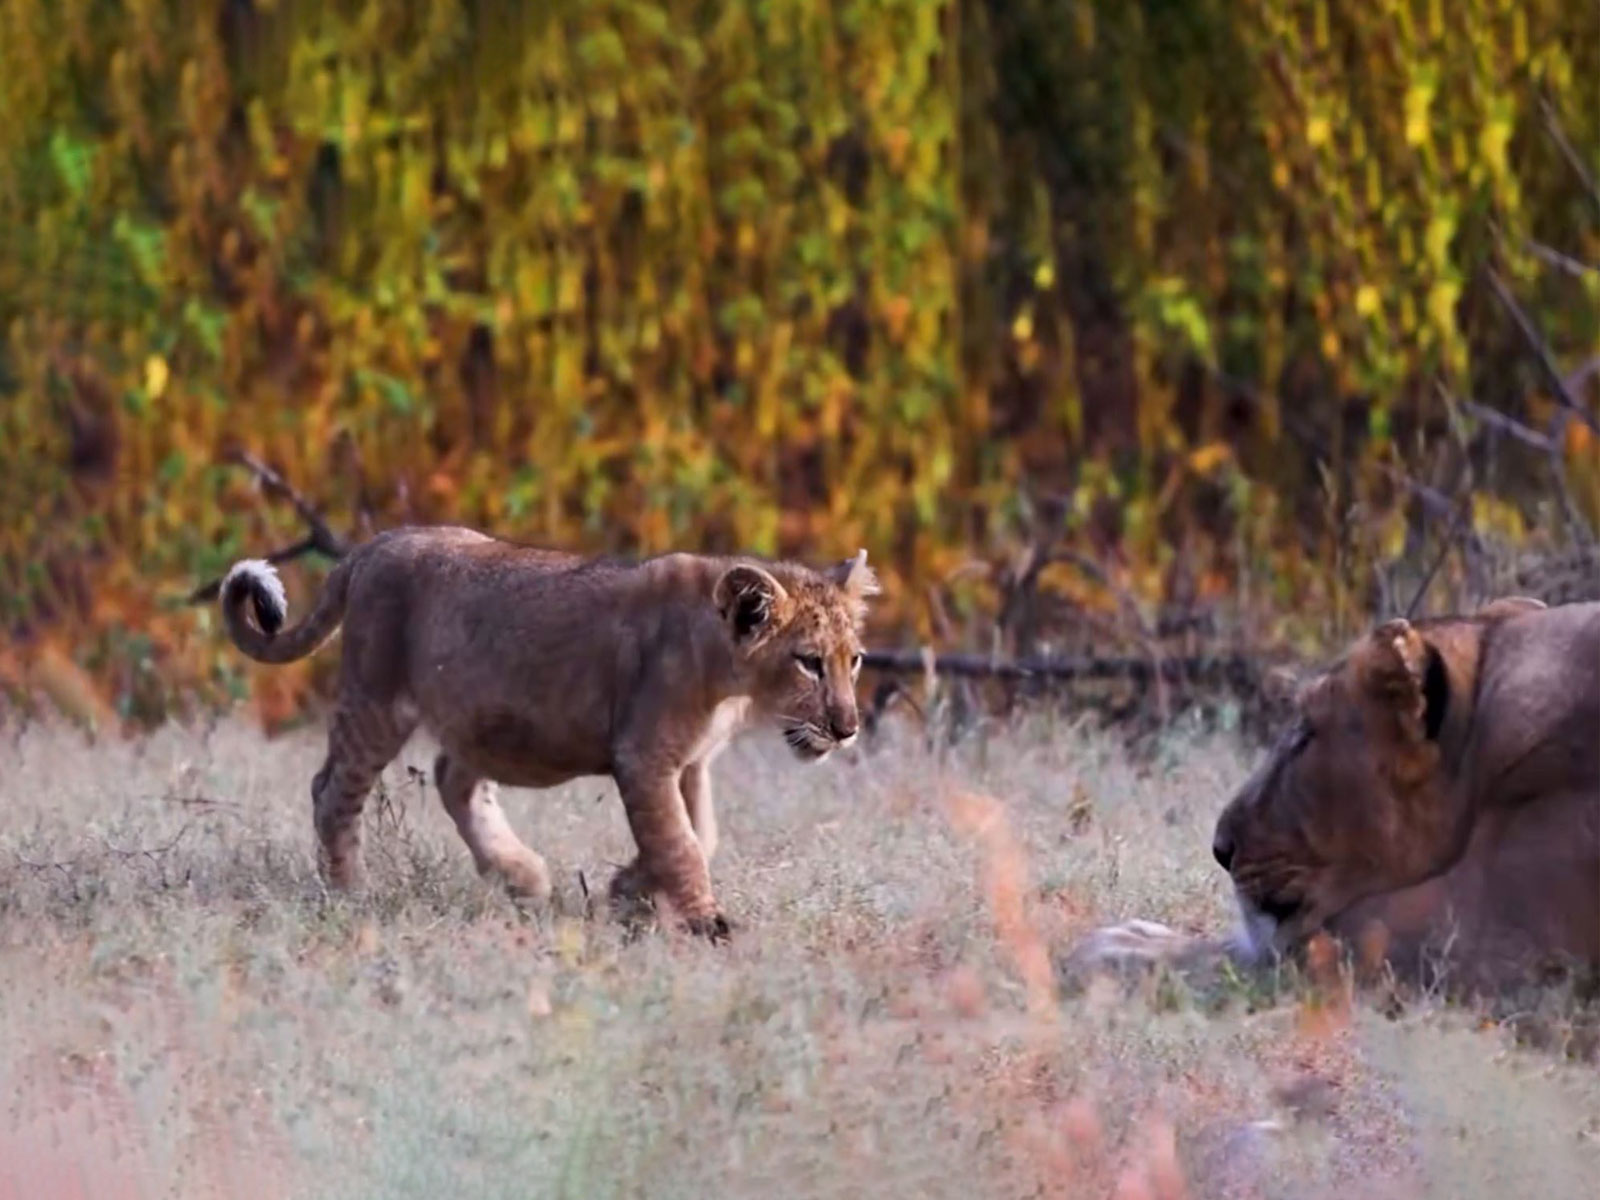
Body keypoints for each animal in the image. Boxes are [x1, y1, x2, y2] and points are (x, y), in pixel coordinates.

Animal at [219, 525, 879, 939]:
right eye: (809, 662)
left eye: (854, 661)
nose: (847, 729)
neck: (730, 678)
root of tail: (372, 545)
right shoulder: (643, 755)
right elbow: (680, 842)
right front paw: (702, 923)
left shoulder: (691, 763)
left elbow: (700, 834)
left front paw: (628, 890)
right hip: (377, 700)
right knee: (332, 791)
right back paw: (351, 895)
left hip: (478, 715)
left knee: (452, 778)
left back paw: (522, 877)